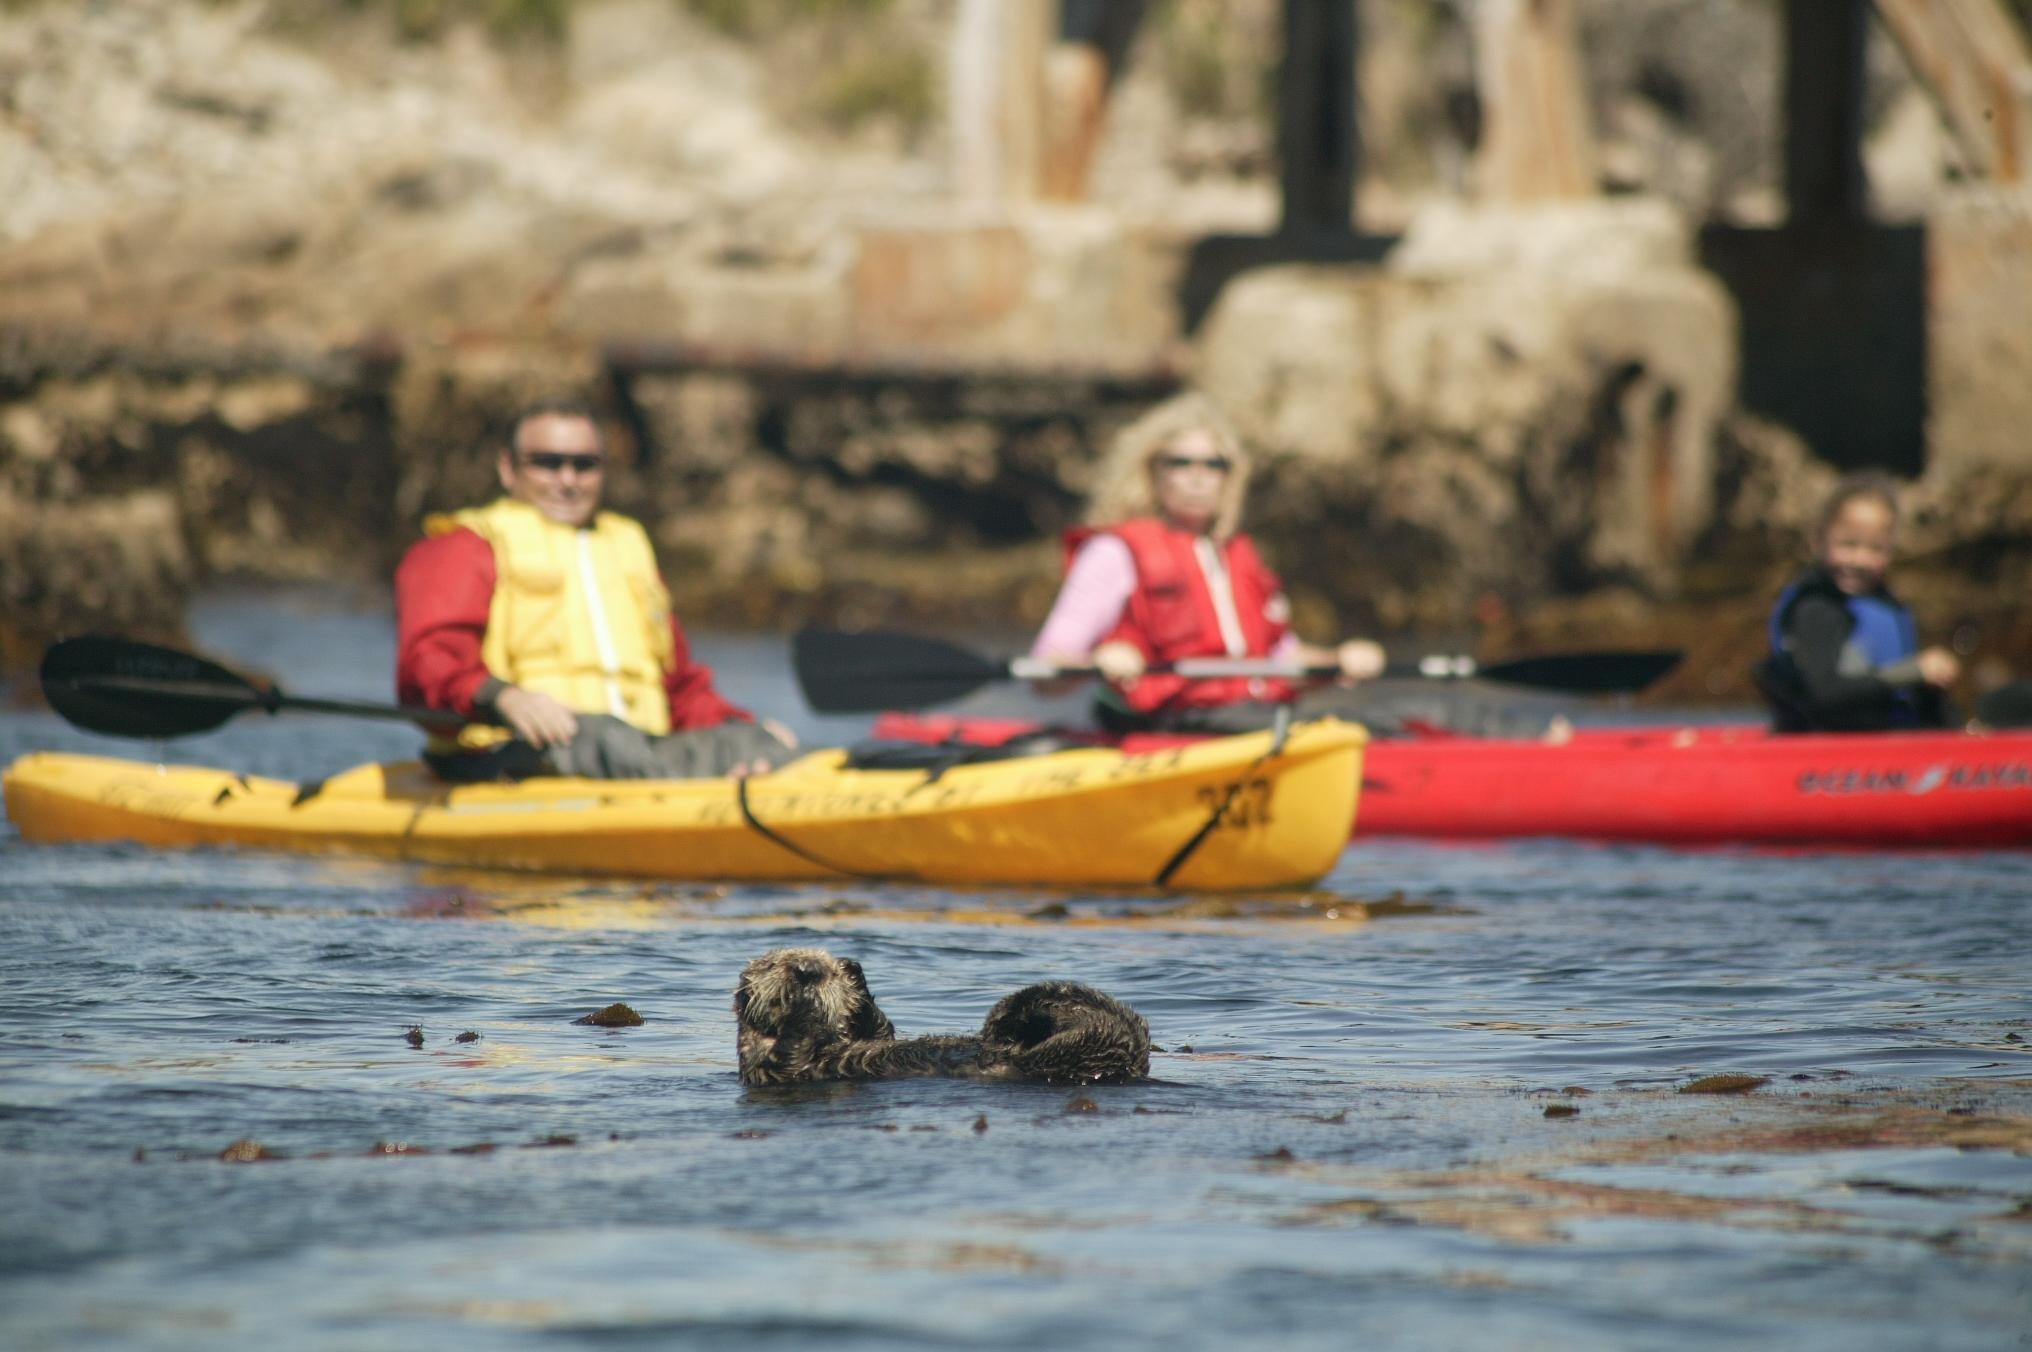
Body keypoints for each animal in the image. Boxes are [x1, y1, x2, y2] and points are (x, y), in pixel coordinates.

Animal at [731, 947, 1154, 1089]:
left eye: (830, 971)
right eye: (771, 965)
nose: (807, 970)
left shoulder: (870, 1035)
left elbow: (881, 1028)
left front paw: (854, 975)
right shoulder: (769, 1070)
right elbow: (790, 1050)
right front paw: (802, 1008)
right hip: (1069, 1052)